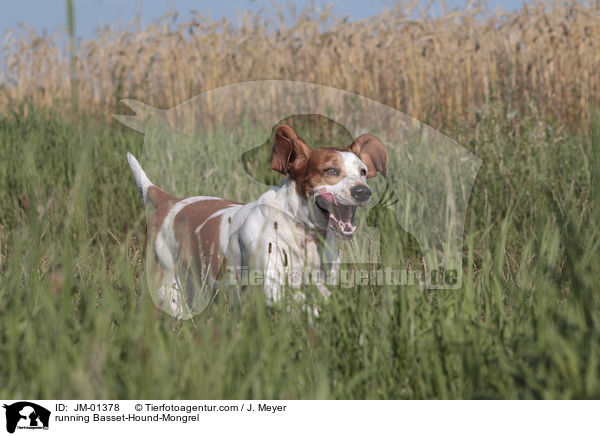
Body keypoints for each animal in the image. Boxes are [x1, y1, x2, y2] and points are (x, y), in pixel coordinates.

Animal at [127, 122, 390, 316]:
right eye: (331, 171)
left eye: (363, 172)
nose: (363, 191)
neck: (299, 230)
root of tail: (170, 202)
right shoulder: (272, 288)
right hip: (169, 287)